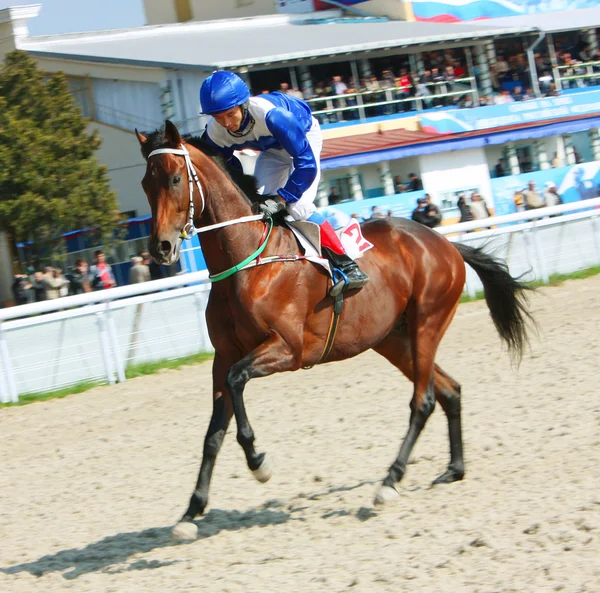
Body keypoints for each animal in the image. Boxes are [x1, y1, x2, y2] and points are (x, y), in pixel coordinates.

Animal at [135, 121, 528, 540]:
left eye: (175, 179)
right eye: (145, 182)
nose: (160, 248)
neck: (250, 259)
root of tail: (445, 243)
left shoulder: (288, 349)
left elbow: (238, 382)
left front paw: (259, 463)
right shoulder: (222, 356)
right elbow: (212, 433)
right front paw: (191, 511)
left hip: (427, 324)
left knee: (423, 401)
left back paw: (390, 482)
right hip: (393, 340)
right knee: (450, 391)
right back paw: (454, 469)